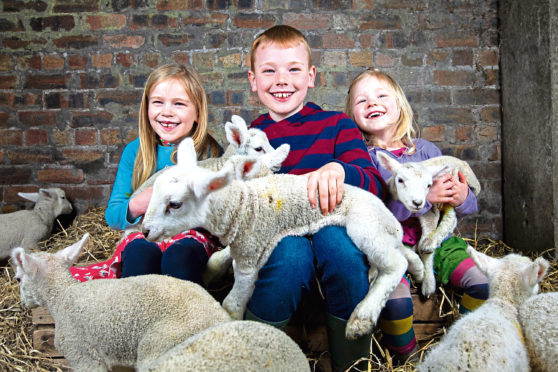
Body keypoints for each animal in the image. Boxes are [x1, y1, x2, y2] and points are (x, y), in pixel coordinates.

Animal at [141, 137, 424, 340]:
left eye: (174, 204)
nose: (145, 231)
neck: (242, 206)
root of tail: (391, 220)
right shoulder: (242, 245)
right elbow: (216, 260)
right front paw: (209, 275)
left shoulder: (250, 255)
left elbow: (232, 303)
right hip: (381, 232)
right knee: (401, 254)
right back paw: (419, 272)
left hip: (365, 225)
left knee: (395, 264)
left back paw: (361, 318)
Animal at [378, 152, 484, 296]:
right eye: (400, 180)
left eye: (429, 185)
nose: (417, 202)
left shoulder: (430, 210)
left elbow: (426, 250)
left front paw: (427, 282)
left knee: (450, 219)